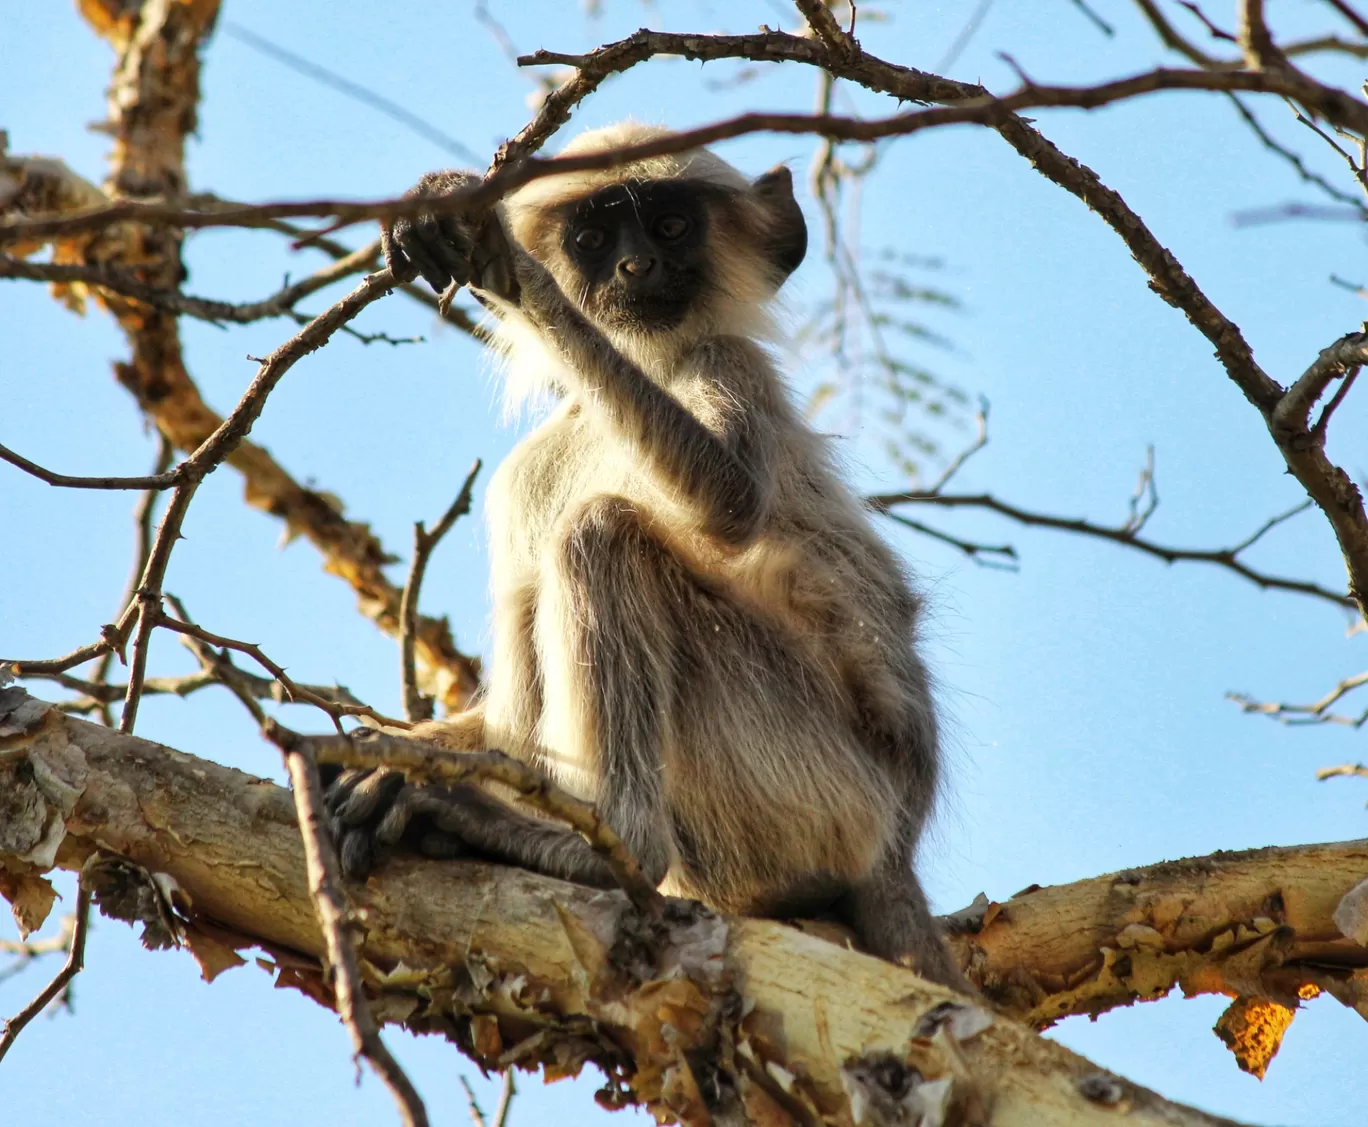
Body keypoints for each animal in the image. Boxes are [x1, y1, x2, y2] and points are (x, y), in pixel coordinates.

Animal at [326, 118, 968, 990]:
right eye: (594, 239)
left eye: (669, 226)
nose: (636, 267)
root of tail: (897, 844)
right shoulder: (523, 472)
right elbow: (506, 721)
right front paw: (400, 755)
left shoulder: (727, 363)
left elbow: (725, 505)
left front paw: (503, 265)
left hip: (816, 779)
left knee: (601, 533)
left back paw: (614, 847)